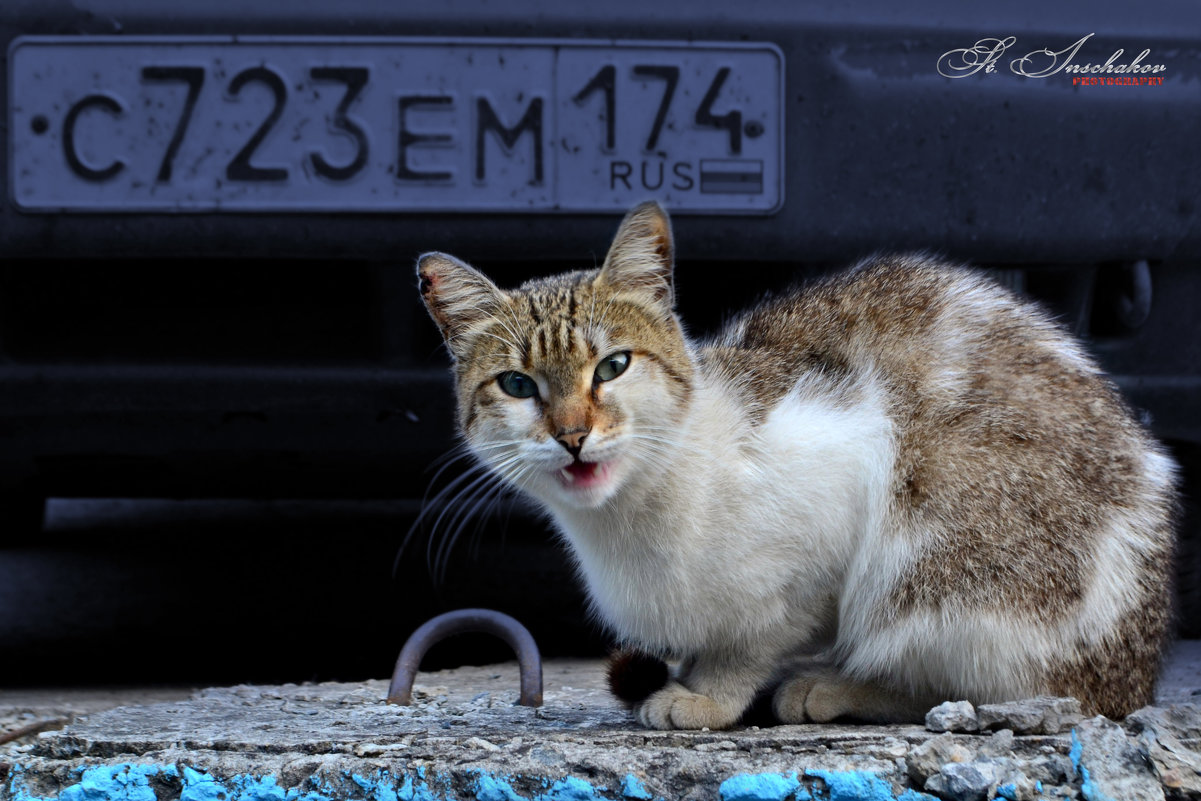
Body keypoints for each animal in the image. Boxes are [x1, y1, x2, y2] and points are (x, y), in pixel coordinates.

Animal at [417, 204, 1176, 730]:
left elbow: (761, 634)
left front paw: (709, 696)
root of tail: (1135, 678)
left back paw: (833, 687)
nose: (573, 435)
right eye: (518, 385)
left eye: (613, 366)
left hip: (946, 565)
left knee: (977, 688)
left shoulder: (841, 480)